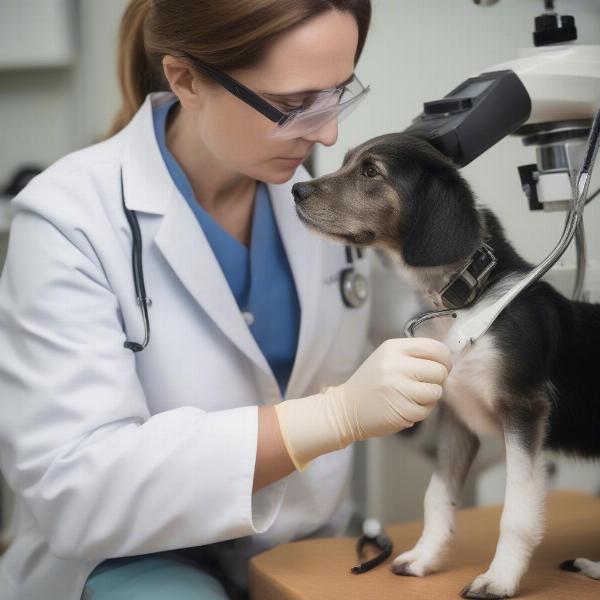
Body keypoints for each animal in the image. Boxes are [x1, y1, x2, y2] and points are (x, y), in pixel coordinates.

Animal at [292, 134, 600, 596]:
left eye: (371, 171)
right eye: (346, 161)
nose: (296, 190)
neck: (468, 302)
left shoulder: (524, 409)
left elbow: (516, 510)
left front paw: (500, 578)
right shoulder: (457, 415)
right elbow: (436, 495)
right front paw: (425, 556)